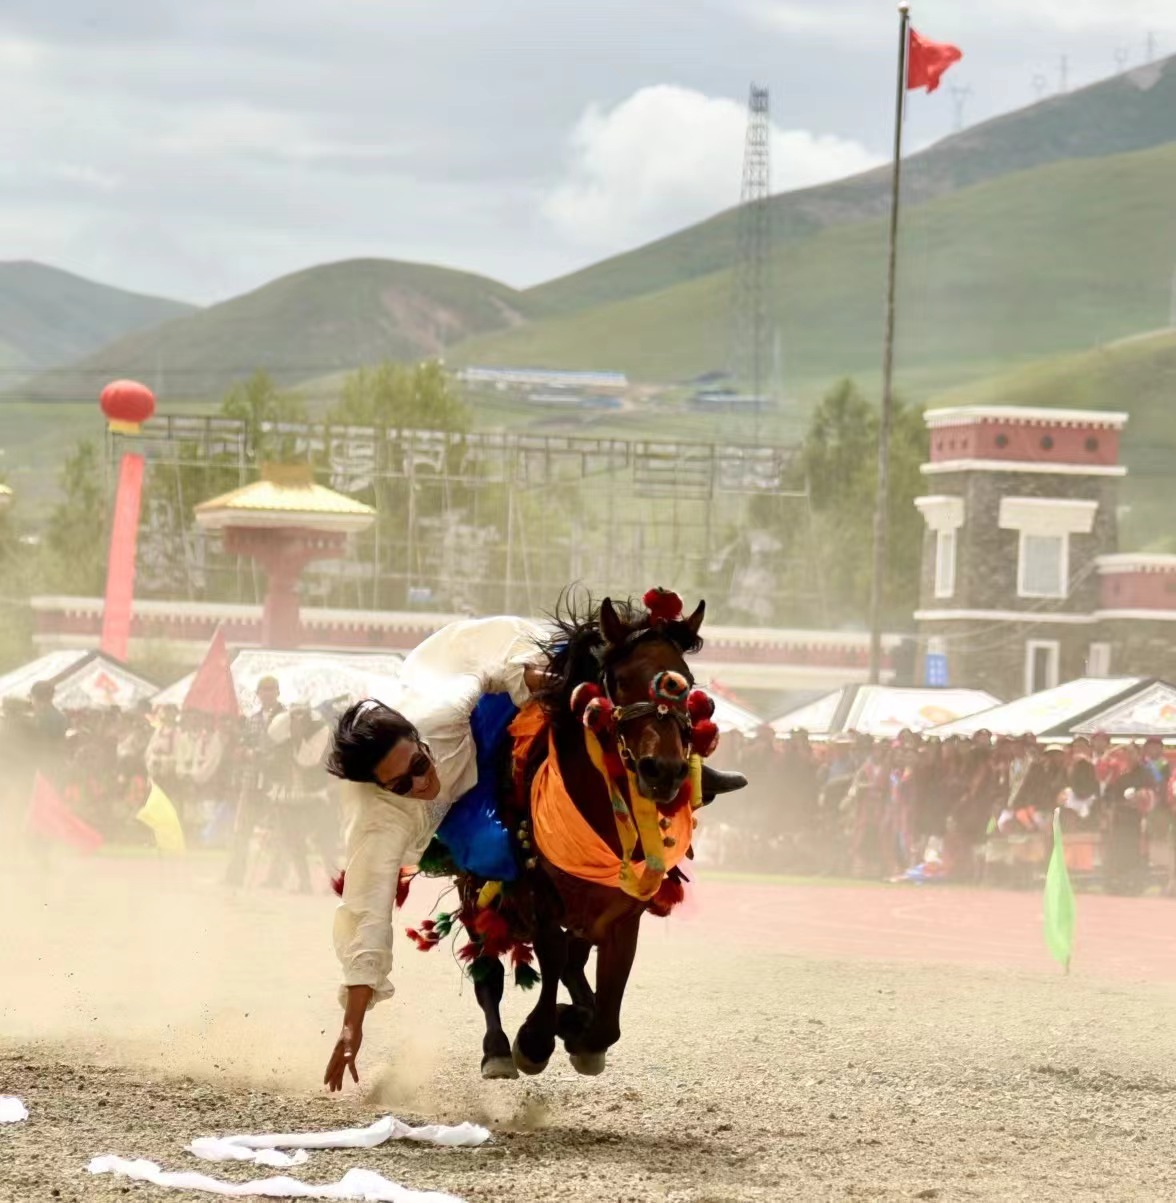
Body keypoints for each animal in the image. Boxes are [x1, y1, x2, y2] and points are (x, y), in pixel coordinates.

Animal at [466, 596, 716, 1077]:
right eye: (618, 680)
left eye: (687, 683)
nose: (664, 770)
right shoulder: (540, 894)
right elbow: (552, 953)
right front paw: (535, 1038)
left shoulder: (623, 913)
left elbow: (607, 1012)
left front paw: (579, 1028)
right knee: (487, 963)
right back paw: (497, 1047)